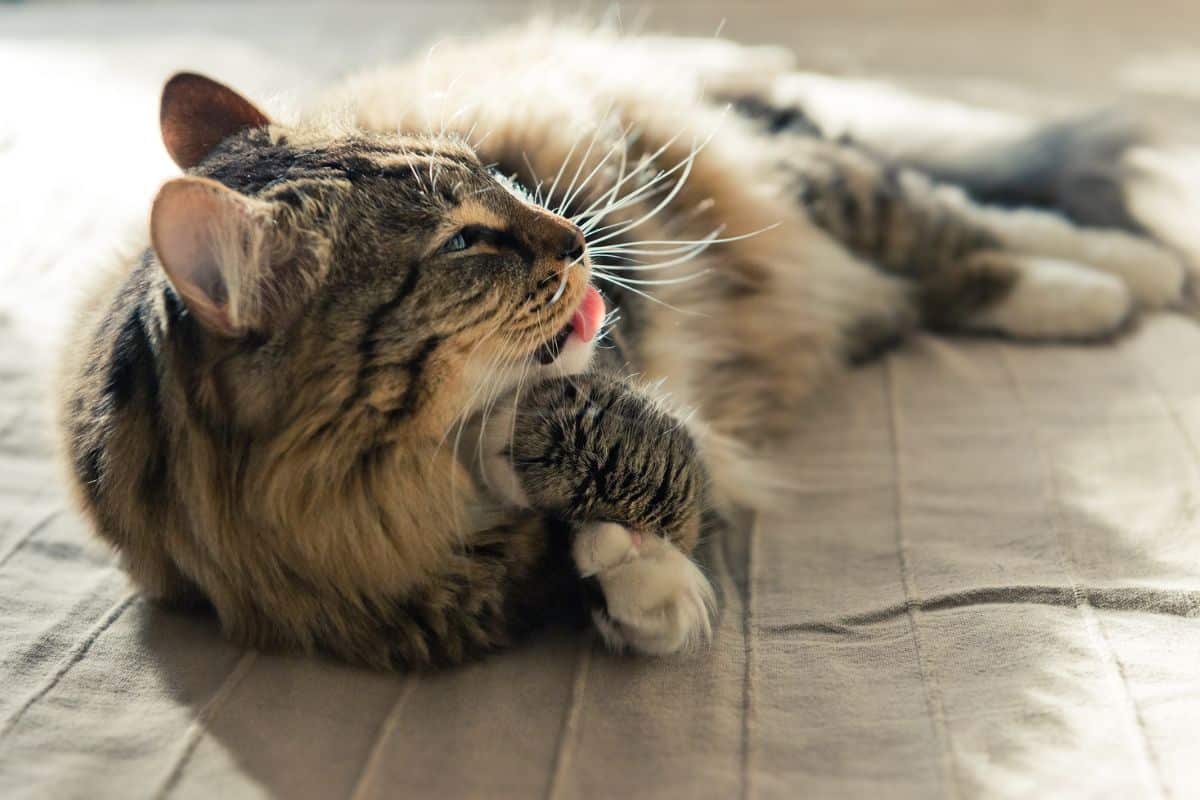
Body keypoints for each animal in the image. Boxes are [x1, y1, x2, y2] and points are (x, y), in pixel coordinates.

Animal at [54, 23, 1180, 671]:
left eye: (495, 175)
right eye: (465, 242)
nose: (575, 238)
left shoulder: (617, 352)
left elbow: (644, 450)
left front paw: (649, 577)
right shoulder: (439, 604)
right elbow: (562, 544)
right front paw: (626, 578)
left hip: (802, 181)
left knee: (962, 226)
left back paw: (1124, 277)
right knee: (926, 263)